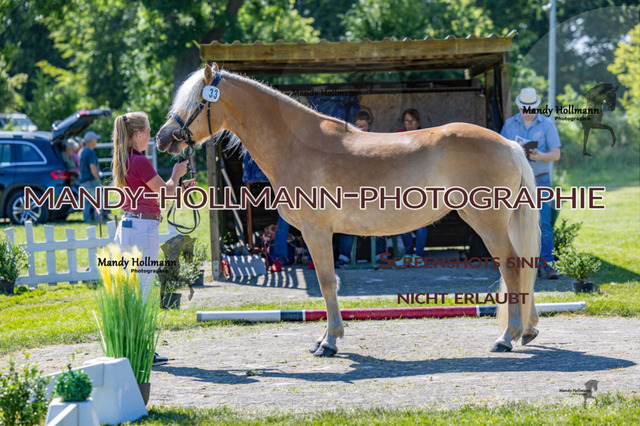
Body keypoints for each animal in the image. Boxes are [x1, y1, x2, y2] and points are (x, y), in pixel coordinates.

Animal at [157, 63, 541, 356]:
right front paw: (326, 338)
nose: (163, 138)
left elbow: (327, 282)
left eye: (196, 101)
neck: (296, 144)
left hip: (488, 224)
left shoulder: (316, 231)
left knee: (511, 265)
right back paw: (528, 331)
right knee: (522, 265)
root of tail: (509, 145)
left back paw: (507, 338)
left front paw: (329, 342)